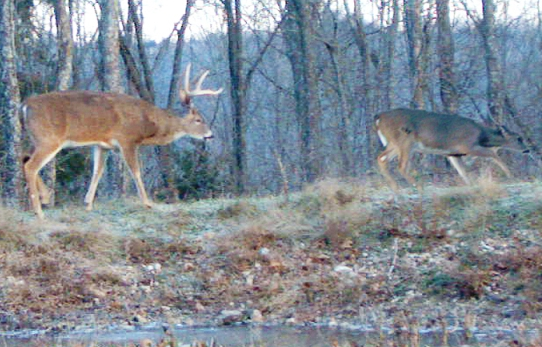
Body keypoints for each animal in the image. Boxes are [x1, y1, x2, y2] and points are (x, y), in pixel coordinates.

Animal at [22, 64, 223, 219]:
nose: (210, 135)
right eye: (199, 120)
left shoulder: (102, 145)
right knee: (31, 166)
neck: (148, 124)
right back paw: (39, 211)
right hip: (49, 139)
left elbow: (97, 171)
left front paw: (88, 204)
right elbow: (136, 171)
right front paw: (147, 203)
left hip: (36, 139)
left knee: (24, 158)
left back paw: (45, 197)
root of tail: (24, 106)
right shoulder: (127, 139)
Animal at [376, 108, 528, 192]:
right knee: (401, 165)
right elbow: (493, 154)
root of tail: (378, 118)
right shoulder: (467, 146)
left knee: (381, 158)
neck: (481, 136)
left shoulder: (453, 153)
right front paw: (510, 175)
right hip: (405, 141)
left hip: (394, 144)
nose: (527, 150)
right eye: (518, 138)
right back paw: (418, 187)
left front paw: (471, 185)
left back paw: (395, 188)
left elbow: (462, 172)